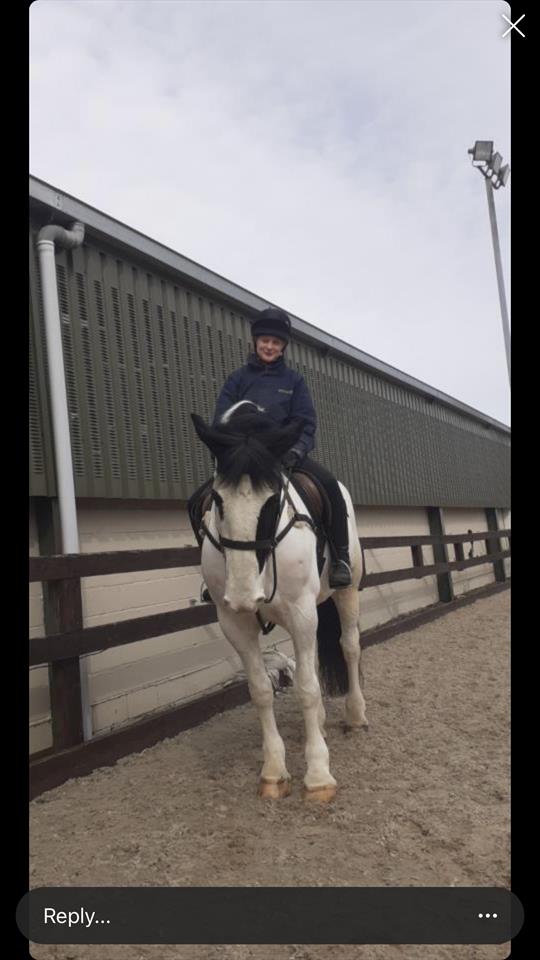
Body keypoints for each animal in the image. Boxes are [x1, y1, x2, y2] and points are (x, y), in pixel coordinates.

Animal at [191, 401, 368, 802]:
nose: (244, 596)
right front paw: (273, 771)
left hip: (347, 591)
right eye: (217, 500)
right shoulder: (235, 623)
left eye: (273, 500)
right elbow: (260, 690)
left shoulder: (302, 612)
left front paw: (318, 775)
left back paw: (355, 716)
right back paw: (321, 723)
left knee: (349, 646)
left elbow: (306, 689)